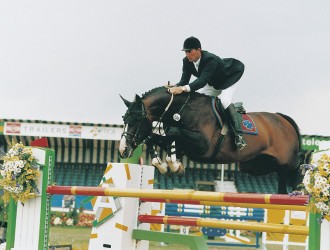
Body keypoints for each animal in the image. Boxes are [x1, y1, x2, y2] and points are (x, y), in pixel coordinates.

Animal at [118, 86, 302, 193]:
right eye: (123, 119)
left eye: (137, 120)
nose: (123, 150)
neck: (181, 110)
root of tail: (282, 118)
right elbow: (156, 139)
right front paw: (167, 166)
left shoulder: (203, 146)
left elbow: (173, 133)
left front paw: (174, 165)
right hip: (253, 165)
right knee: (280, 178)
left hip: (286, 160)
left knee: (296, 166)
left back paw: (301, 187)